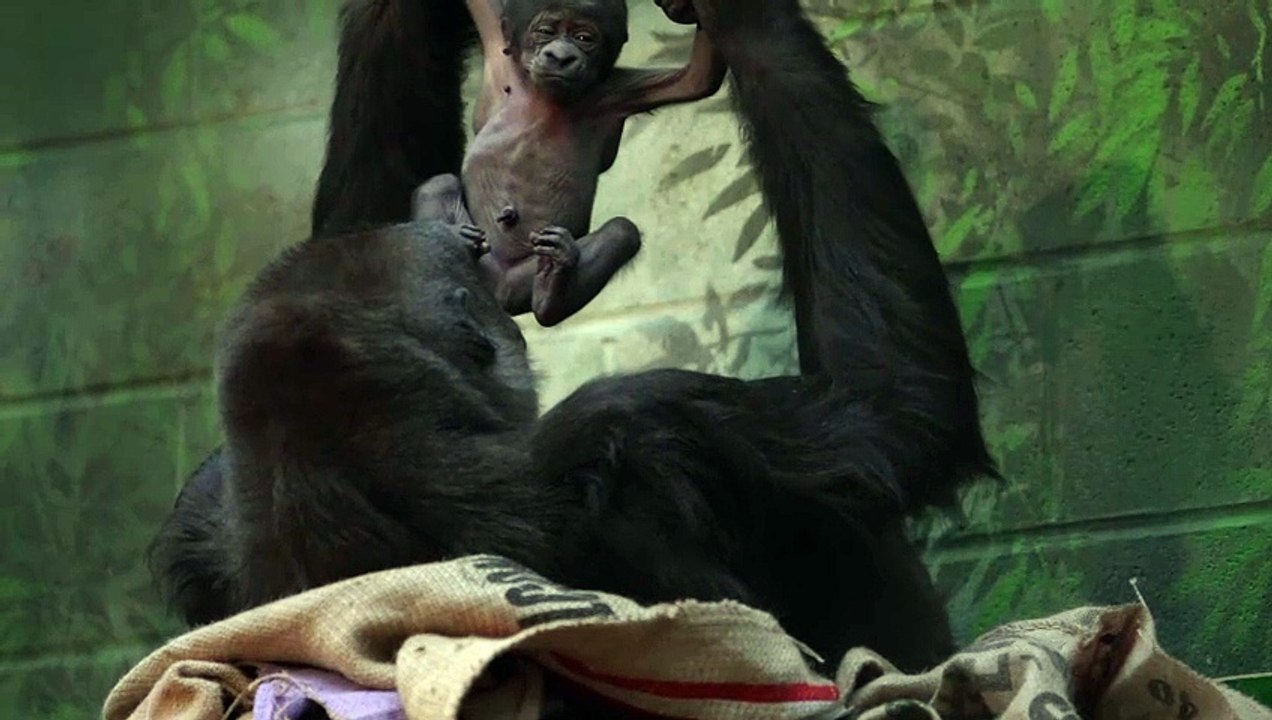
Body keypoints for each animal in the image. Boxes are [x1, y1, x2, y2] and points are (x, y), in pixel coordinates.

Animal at [407, 0, 727, 326]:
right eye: (546, 32)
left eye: (583, 38)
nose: (560, 55)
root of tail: (501, 295)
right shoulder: (502, 60)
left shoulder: (615, 91)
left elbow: (696, 79)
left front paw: (684, 10)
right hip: (483, 264)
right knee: (437, 186)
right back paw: (454, 248)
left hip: (523, 278)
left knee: (621, 232)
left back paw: (552, 285)